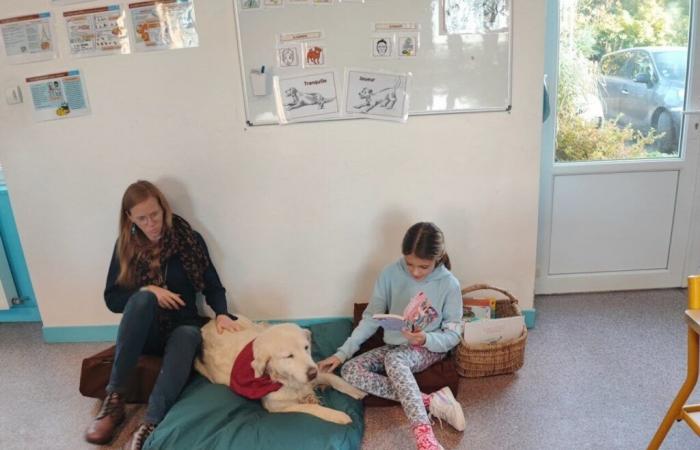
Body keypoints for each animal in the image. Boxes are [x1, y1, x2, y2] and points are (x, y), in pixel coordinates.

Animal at [194, 314, 364, 424]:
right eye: (289, 356)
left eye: (306, 348)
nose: (312, 373)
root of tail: (210, 321)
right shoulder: (276, 406)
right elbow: (310, 407)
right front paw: (337, 415)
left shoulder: (316, 372)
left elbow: (335, 379)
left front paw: (357, 391)